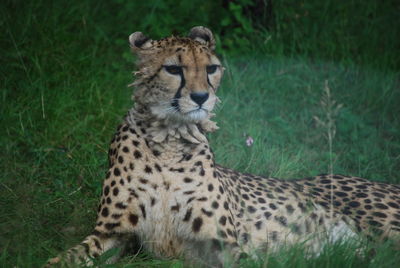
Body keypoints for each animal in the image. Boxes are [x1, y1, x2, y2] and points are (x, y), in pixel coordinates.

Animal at [45, 26, 398, 266]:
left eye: (211, 68)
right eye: (174, 69)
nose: (202, 96)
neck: (168, 141)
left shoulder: (224, 243)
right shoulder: (113, 234)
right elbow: (70, 255)